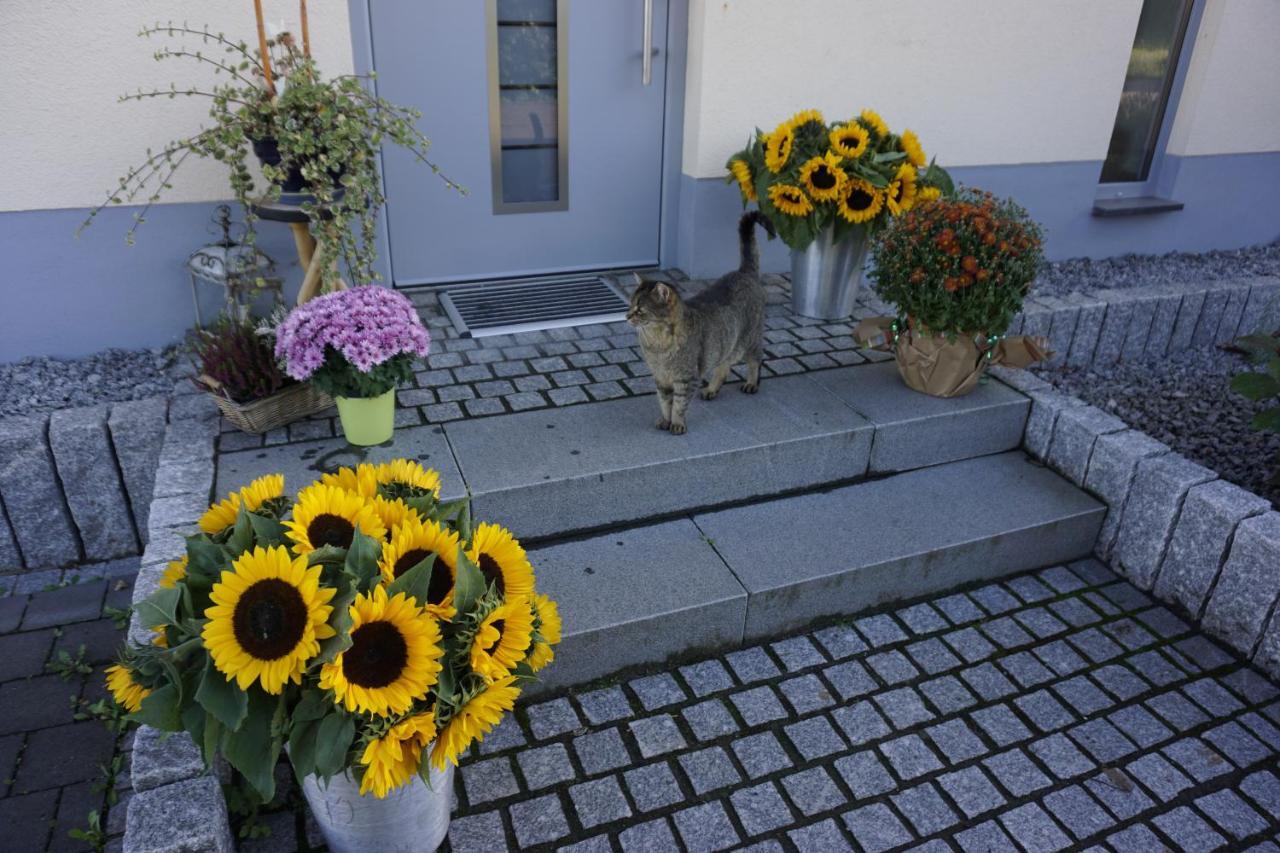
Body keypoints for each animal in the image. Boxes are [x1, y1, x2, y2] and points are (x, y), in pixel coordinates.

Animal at [627, 206, 773, 432]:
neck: (657, 343)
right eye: (630, 305)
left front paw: (677, 424)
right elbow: (664, 402)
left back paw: (751, 383)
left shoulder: (686, 378)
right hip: (727, 344)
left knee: (756, 360)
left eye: (640, 310)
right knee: (724, 366)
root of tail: (744, 272)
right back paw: (711, 389)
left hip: (750, 340)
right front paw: (665, 420)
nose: (627, 316)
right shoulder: (660, 378)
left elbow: (678, 404)